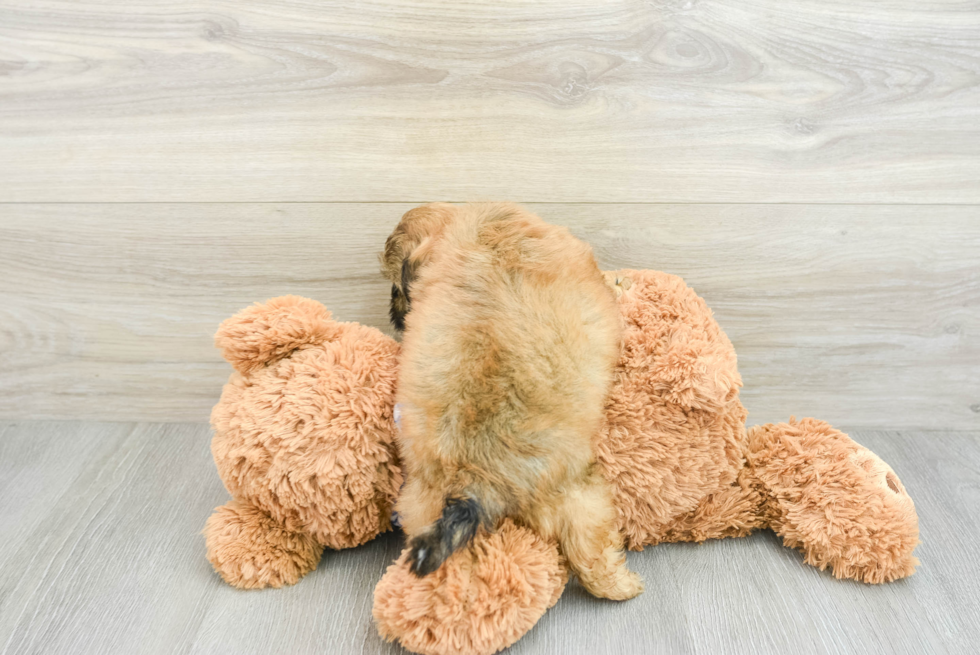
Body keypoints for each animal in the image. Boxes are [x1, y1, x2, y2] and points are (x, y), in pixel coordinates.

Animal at [380, 202, 644, 604]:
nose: (394, 315)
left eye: (397, 286)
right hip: (581, 497)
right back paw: (623, 587)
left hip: (422, 508)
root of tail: (474, 480)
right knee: (591, 557)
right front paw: (619, 283)